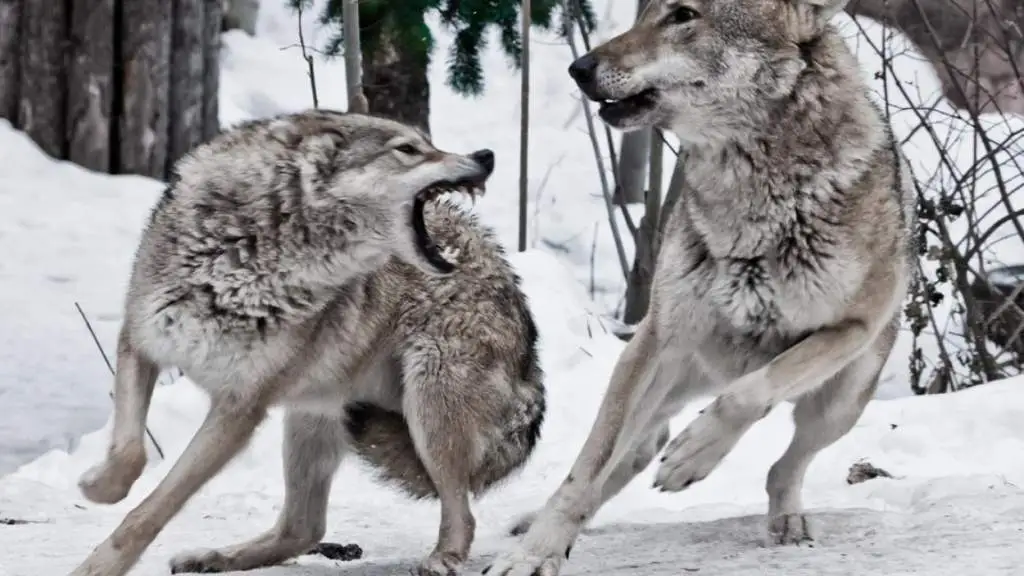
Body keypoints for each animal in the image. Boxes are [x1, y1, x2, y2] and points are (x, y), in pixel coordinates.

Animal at [68, 108, 548, 573]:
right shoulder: (141, 343)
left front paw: (97, 567)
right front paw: (97, 487)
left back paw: (442, 560)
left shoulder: (239, 409)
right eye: (409, 149)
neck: (243, 256)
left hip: (427, 411)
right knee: (304, 528)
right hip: (311, 419)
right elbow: (130, 453)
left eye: (426, 144)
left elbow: (152, 509)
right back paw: (214, 558)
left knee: (461, 513)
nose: (486, 156)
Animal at [483, 1, 917, 573]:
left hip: (842, 400)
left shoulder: (853, 326)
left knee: (783, 465)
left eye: (683, 15)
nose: (579, 68)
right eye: (642, 13)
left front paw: (695, 456)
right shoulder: (659, 338)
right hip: (650, 373)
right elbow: (585, 470)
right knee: (629, 453)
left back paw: (785, 518)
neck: (755, 201)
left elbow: (749, 393)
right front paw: (536, 552)